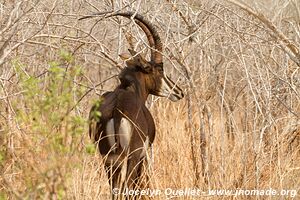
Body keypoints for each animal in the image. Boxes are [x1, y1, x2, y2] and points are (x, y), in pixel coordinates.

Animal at [80, 11, 183, 198]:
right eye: (160, 69)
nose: (179, 92)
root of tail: (116, 110)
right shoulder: (144, 154)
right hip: (131, 156)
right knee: (128, 187)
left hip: (108, 158)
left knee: (115, 189)